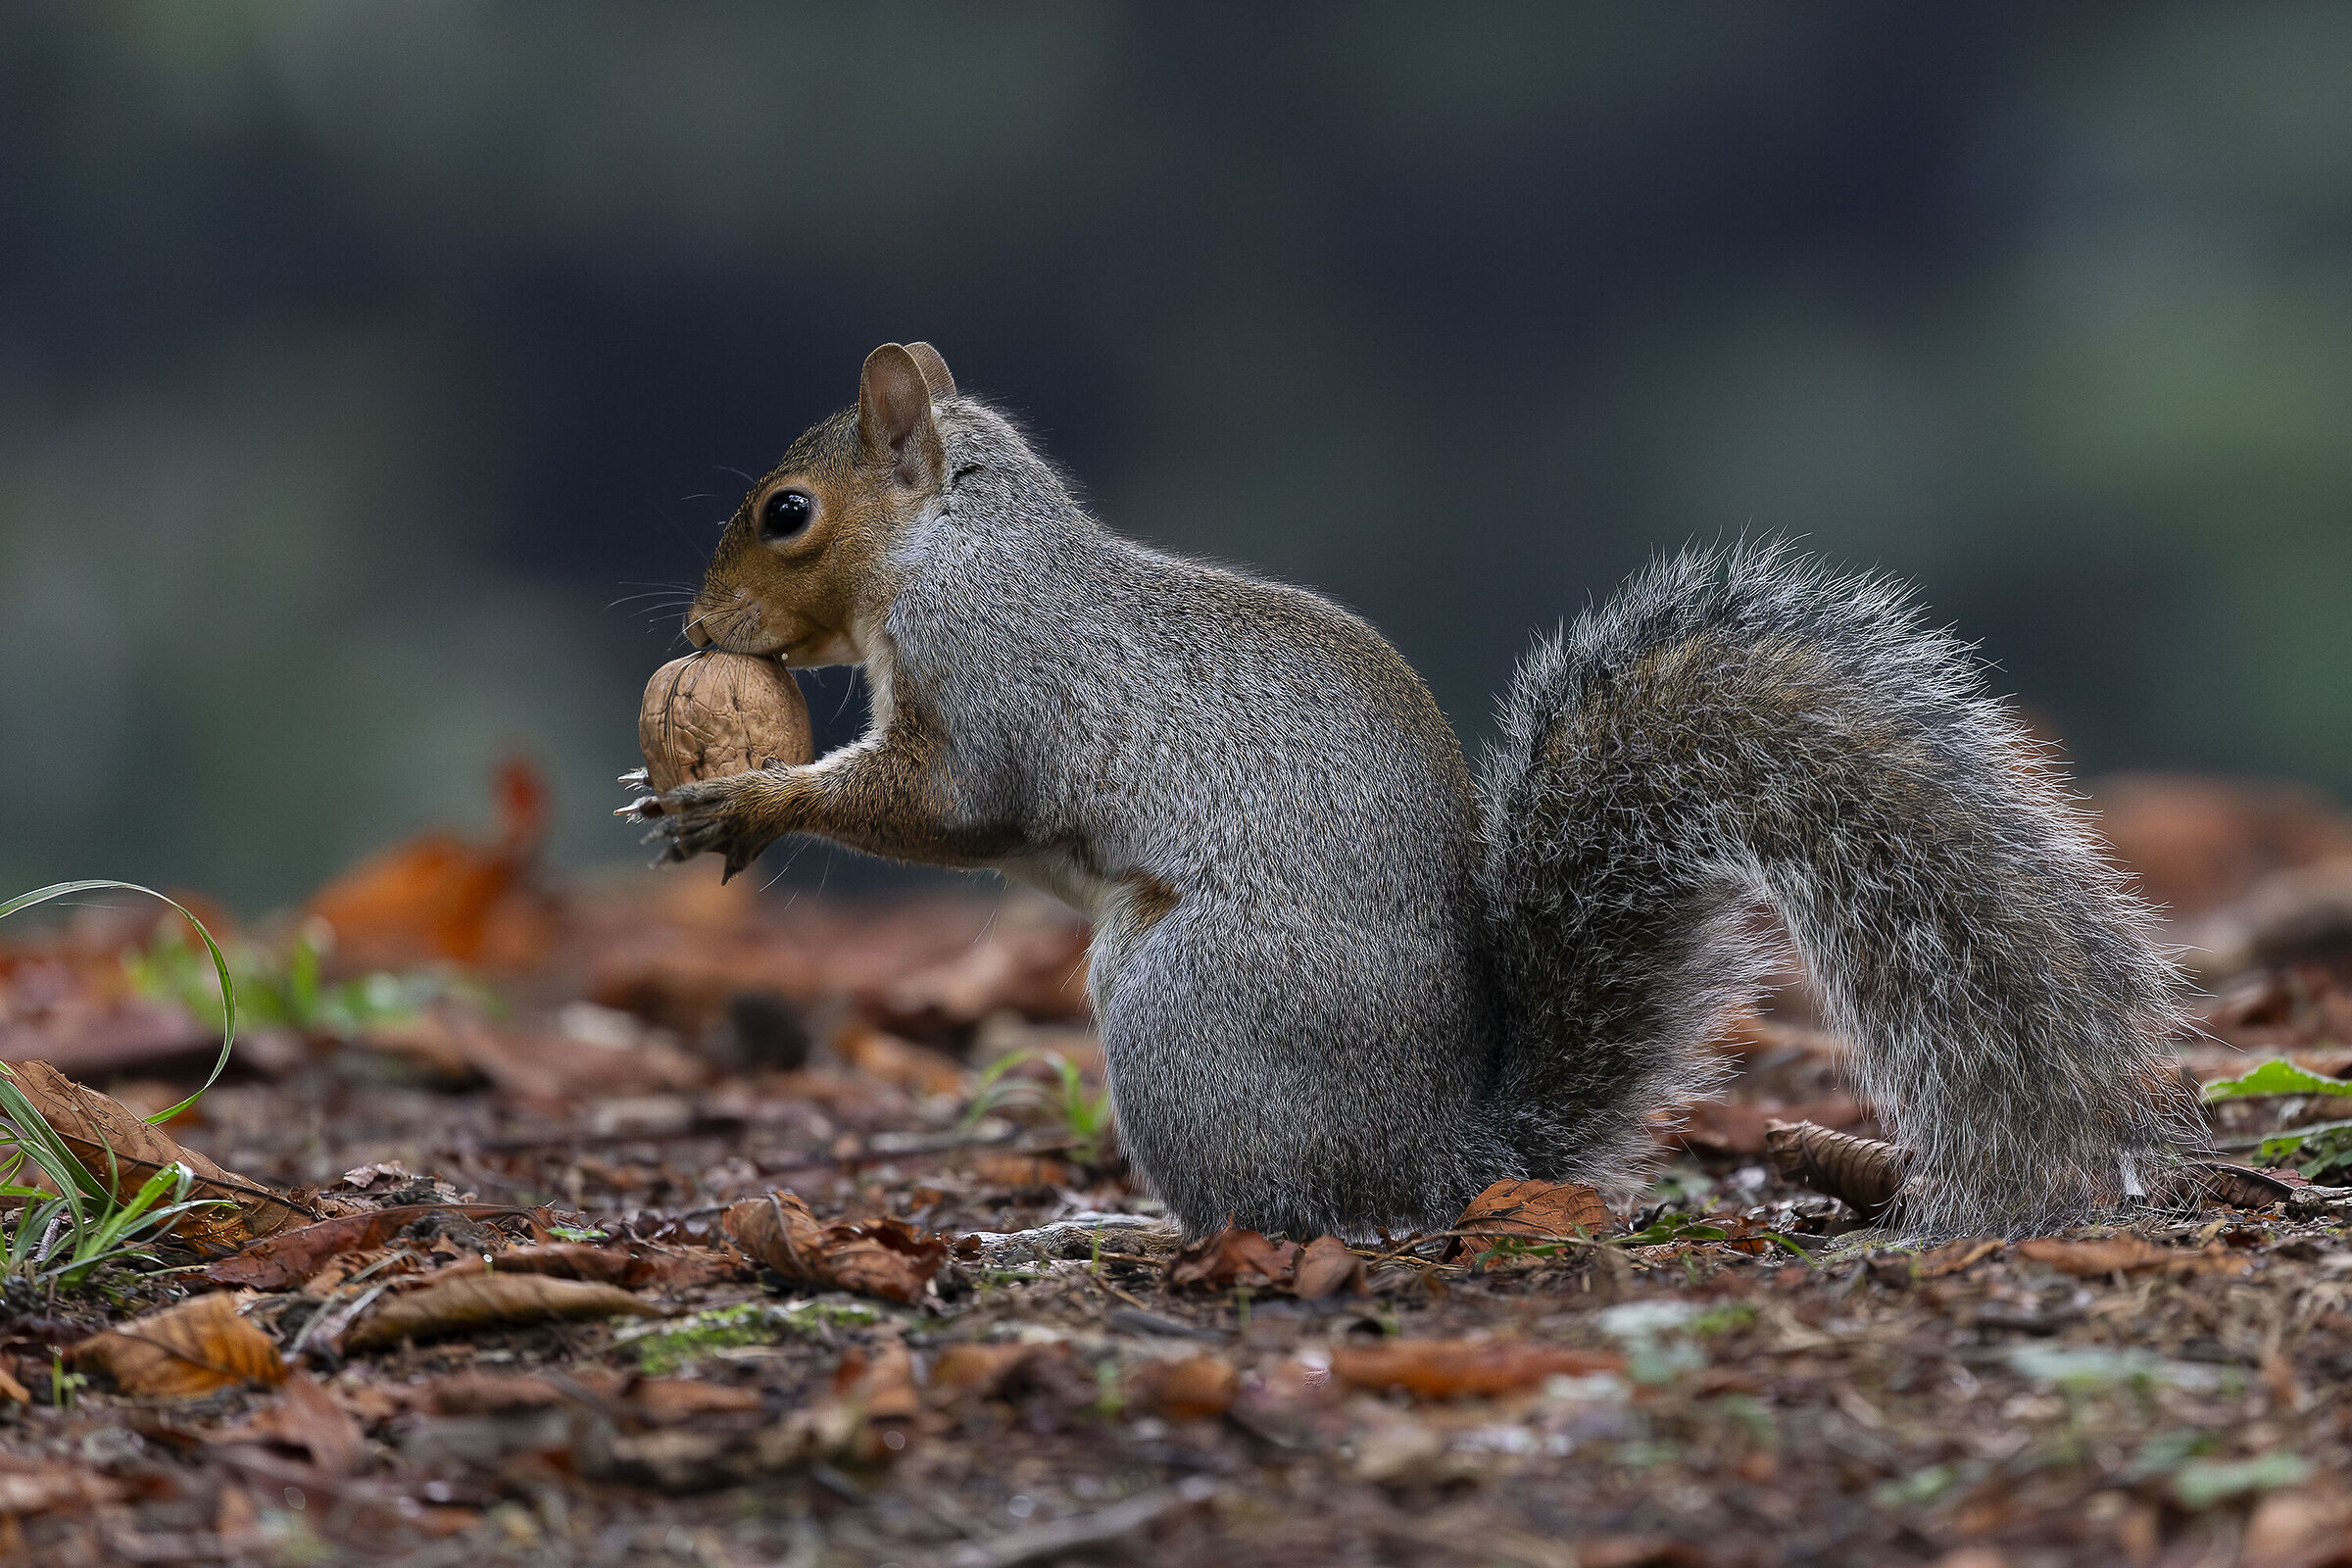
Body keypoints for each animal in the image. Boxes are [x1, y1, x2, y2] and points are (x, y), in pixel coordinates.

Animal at [624, 341, 2196, 1241]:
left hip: (1185, 1005)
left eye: (787, 513)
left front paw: (745, 797)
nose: (697, 628)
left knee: (1281, 1216)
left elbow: (938, 804)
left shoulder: (991, 689)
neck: (959, 544)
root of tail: (1441, 1162)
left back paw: (1121, 1234)